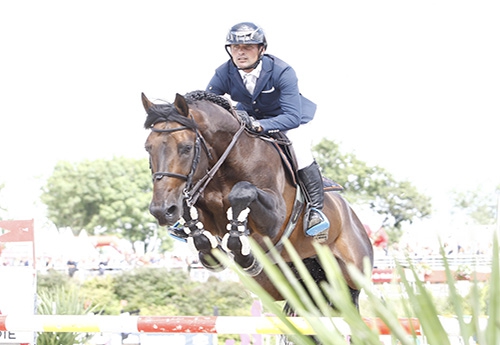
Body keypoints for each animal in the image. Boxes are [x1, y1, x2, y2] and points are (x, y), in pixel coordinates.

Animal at [141, 90, 372, 308]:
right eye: (148, 147)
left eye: (186, 148)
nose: (162, 211)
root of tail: (351, 214)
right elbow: (192, 213)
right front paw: (207, 245)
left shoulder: (276, 220)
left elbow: (243, 192)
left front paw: (242, 249)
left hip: (352, 272)